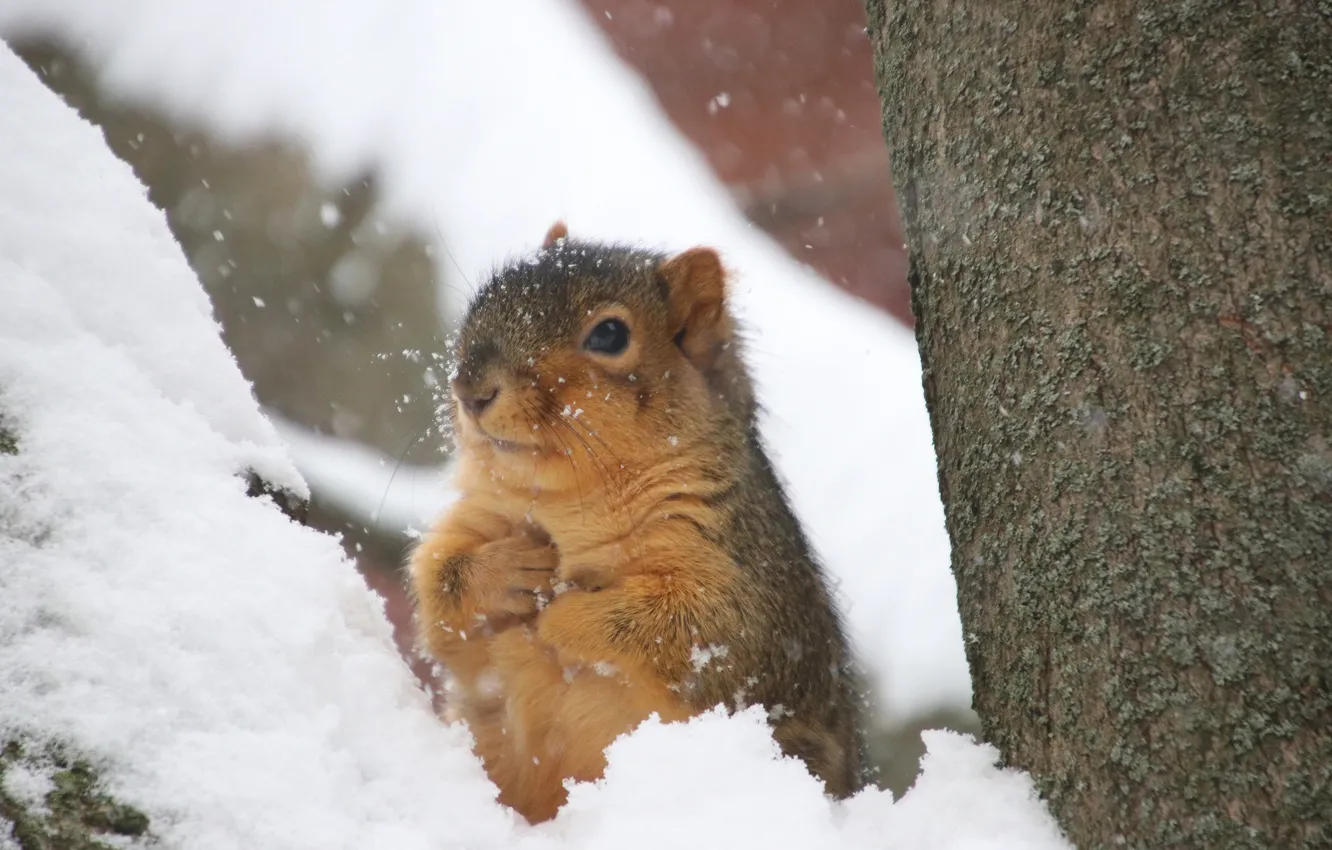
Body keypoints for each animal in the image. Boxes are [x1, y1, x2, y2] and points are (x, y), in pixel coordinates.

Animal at [404, 223, 863, 820]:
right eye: (482, 299)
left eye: (610, 335)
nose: (469, 389)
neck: (569, 500)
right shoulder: (478, 517)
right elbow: (438, 587)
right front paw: (508, 573)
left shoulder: (743, 573)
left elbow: (698, 625)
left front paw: (560, 618)